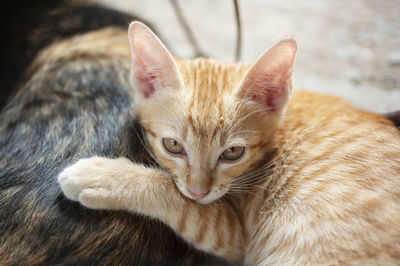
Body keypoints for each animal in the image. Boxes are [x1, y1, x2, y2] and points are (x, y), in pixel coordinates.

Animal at [57, 21, 400, 264]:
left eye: (233, 153)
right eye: (173, 146)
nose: (199, 191)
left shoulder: (236, 235)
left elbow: (180, 200)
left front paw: (101, 176)